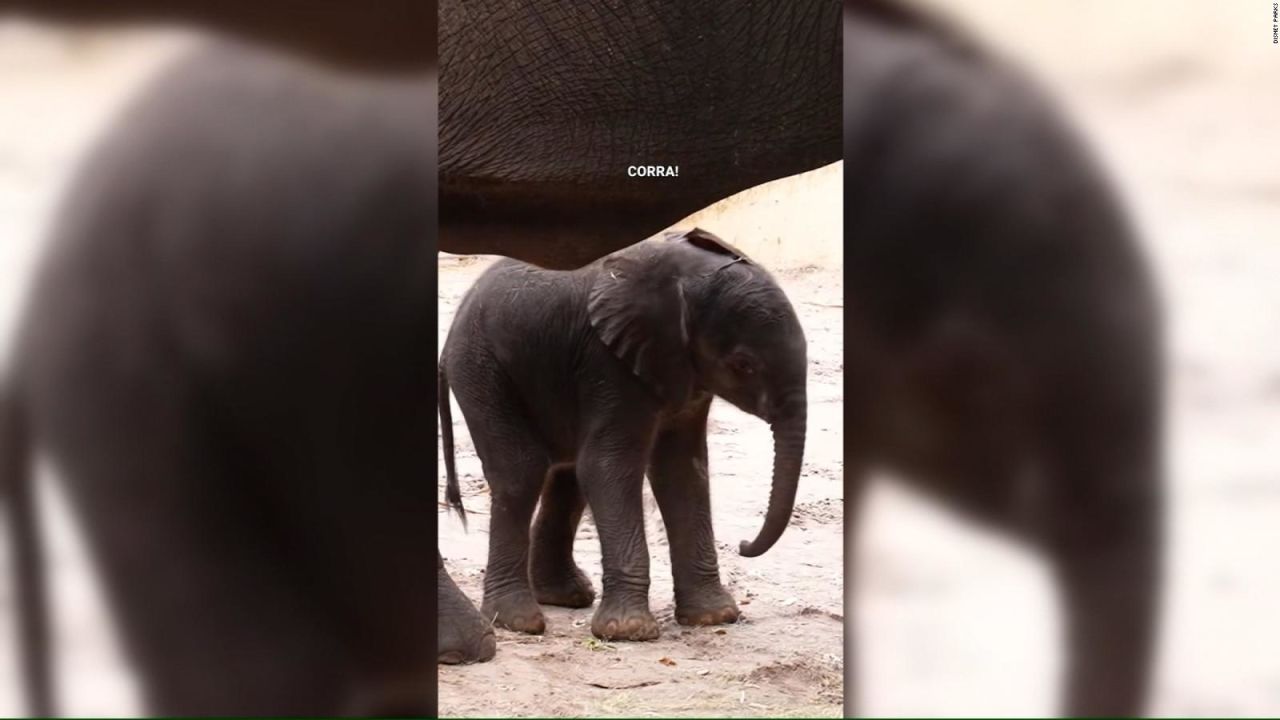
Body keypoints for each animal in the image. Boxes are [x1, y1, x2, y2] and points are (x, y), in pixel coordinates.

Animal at [435, 226, 803, 635]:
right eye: (743, 365)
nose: (742, 544)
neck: (684, 277)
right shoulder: (609, 361)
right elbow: (609, 467)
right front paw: (629, 632)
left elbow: (681, 471)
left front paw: (713, 617)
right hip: (481, 369)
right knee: (523, 471)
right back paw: (520, 622)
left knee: (566, 475)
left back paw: (565, 597)